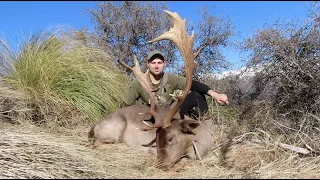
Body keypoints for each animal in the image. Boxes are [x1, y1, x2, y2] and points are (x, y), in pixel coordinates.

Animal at [87, 9, 214, 170]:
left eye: (170, 138)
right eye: (157, 139)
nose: (160, 164)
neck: (203, 141)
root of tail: (92, 128)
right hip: (115, 126)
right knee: (98, 143)